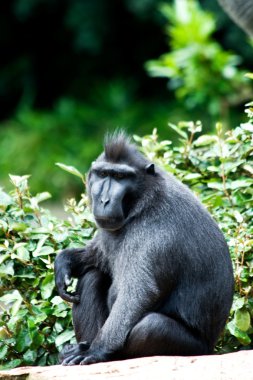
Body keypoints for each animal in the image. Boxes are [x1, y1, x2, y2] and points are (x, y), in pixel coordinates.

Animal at [54, 131, 234, 366]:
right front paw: (64, 262)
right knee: (91, 277)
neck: (145, 199)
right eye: (103, 174)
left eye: (120, 177)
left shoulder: (156, 234)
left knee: (151, 326)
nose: (104, 200)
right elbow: (98, 256)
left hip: (195, 349)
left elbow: (139, 292)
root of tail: (211, 349)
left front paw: (96, 350)